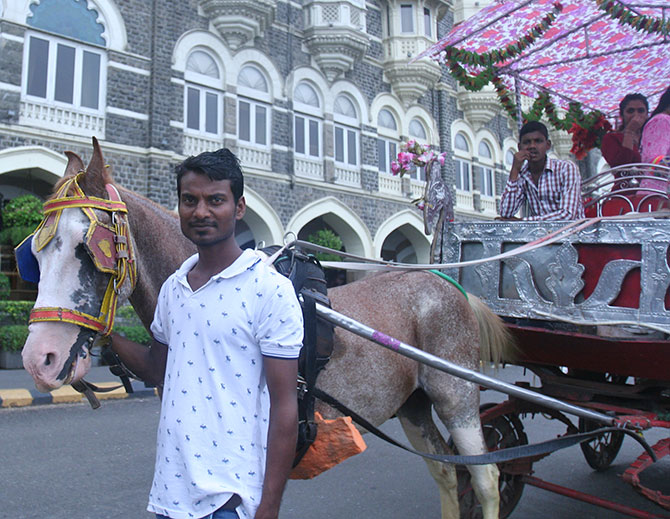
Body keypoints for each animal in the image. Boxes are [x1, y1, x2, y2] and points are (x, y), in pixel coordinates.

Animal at [21, 139, 516, 519]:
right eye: (34, 253)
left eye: (88, 250)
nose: (38, 358)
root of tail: (446, 282)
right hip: (411, 402)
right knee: (446, 471)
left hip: (455, 393)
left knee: (486, 475)